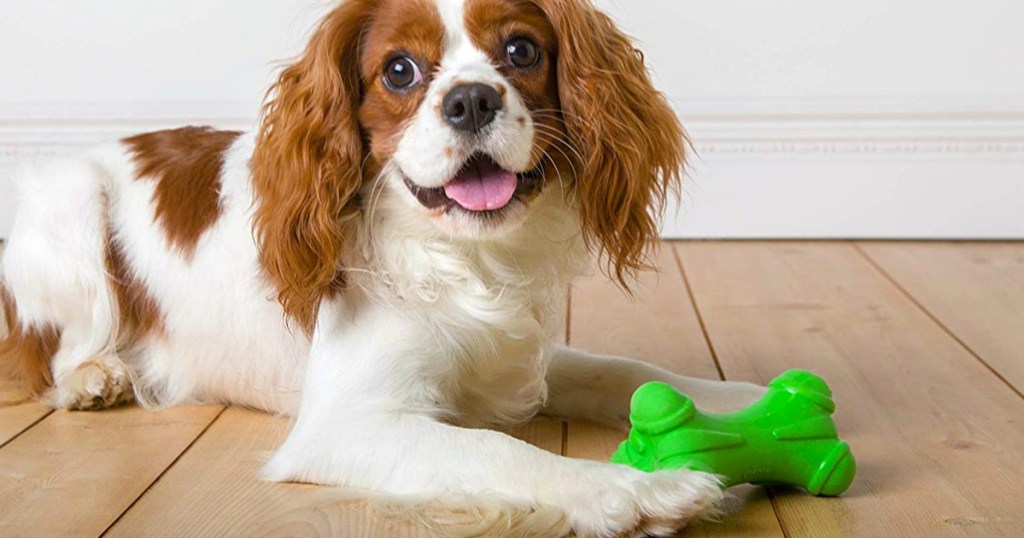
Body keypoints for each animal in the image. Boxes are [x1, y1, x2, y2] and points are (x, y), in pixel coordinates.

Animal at [2, 0, 770, 532]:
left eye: (521, 50)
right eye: (399, 70)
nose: (471, 98)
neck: (463, 255)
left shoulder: (523, 357)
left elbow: (625, 371)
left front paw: (742, 397)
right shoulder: (345, 425)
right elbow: (502, 453)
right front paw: (634, 492)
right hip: (76, 201)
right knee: (54, 353)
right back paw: (96, 377)